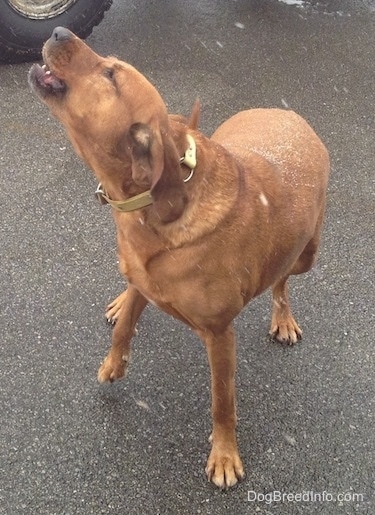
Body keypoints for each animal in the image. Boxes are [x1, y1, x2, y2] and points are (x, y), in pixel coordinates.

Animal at [28, 27, 328, 488]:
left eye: (110, 74)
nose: (60, 31)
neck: (146, 208)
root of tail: (288, 113)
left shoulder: (220, 335)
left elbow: (222, 402)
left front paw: (224, 454)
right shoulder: (141, 276)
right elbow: (126, 325)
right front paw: (115, 361)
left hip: (305, 253)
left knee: (281, 279)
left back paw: (283, 317)